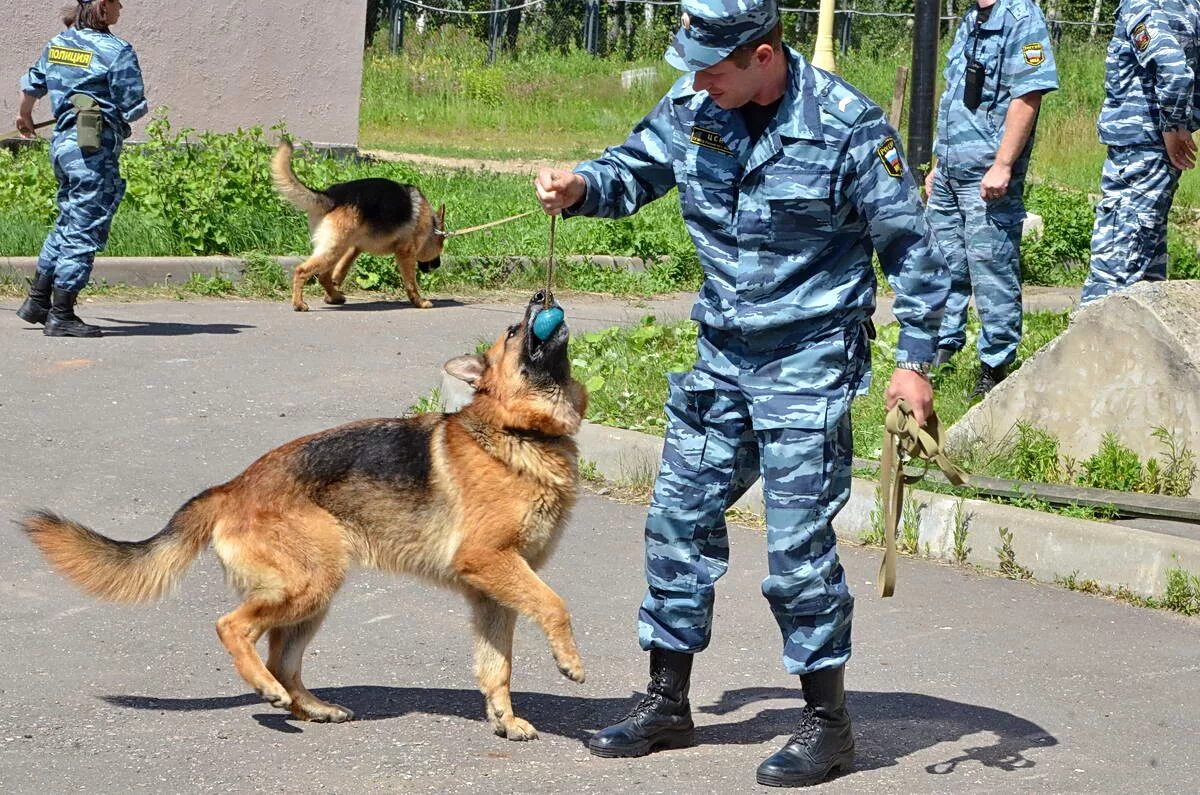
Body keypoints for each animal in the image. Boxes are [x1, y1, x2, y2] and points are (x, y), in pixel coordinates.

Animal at [24, 295, 590, 744]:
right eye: (514, 331)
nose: (542, 295)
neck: (519, 432)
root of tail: (232, 487)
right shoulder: (492, 564)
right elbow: (556, 605)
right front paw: (570, 662)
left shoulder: (493, 594)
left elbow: (498, 667)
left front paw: (505, 720)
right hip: (309, 584)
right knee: (233, 628)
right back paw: (267, 690)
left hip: (312, 598)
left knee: (281, 658)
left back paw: (310, 706)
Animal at [270, 138, 448, 312]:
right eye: (441, 246)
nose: (438, 265)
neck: (430, 226)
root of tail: (331, 196)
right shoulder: (405, 253)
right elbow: (411, 283)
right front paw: (419, 301)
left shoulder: (354, 248)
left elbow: (340, 272)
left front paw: (331, 295)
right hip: (333, 250)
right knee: (302, 271)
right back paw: (299, 303)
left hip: (338, 248)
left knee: (323, 276)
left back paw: (335, 297)